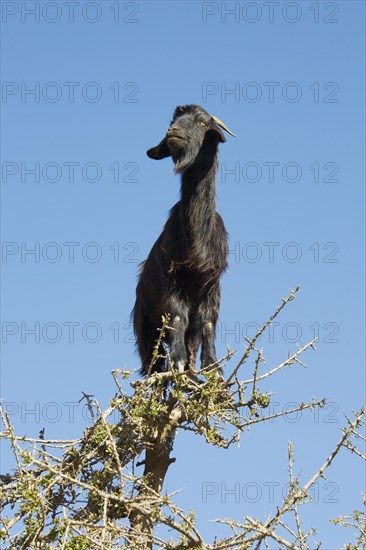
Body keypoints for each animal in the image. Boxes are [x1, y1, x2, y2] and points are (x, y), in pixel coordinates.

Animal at [134, 104, 234, 380]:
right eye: (173, 122)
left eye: (202, 123)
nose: (173, 132)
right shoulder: (172, 280)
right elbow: (179, 318)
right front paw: (178, 362)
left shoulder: (211, 284)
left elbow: (207, 323)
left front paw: (213, 369)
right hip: (145, 329)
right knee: (154, 365)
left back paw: (191, 375)